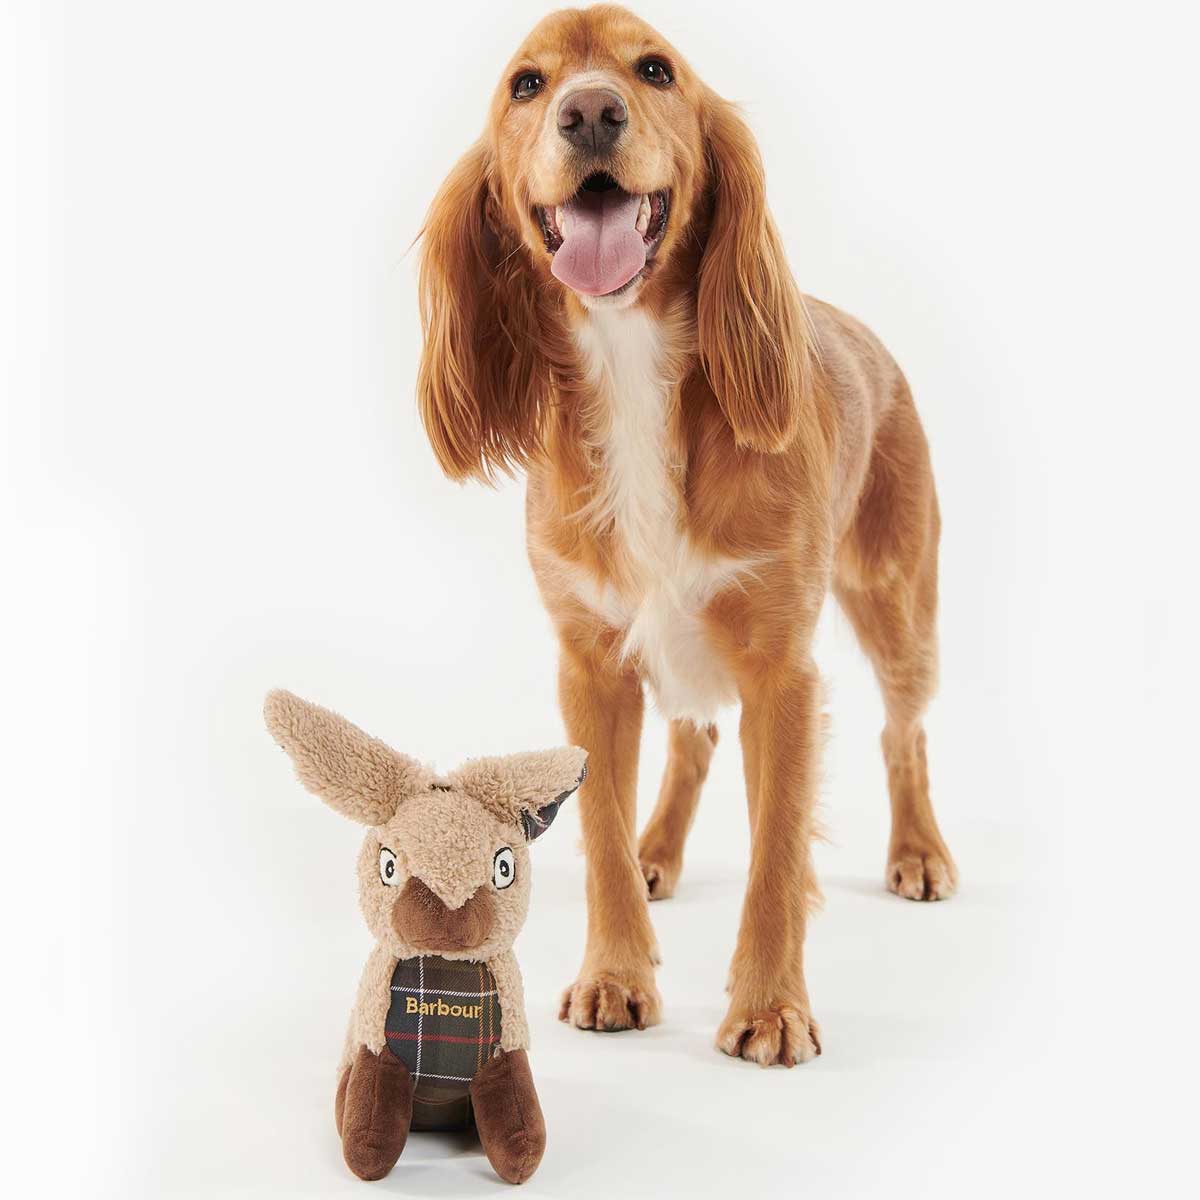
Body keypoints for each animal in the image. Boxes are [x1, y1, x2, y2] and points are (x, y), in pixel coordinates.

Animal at [416, 4, 956, 1067]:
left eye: (655, 69)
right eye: (528, 84)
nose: (589, 111)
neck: (633, 371)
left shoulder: (783, 671)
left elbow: (776, 852)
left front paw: (772, 1007)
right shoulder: (591, 665)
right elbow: (602, 838)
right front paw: (616, 972)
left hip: (896, 603)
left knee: (903, 730)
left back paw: (917, 850)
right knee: (695, 741)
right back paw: (662, 850)